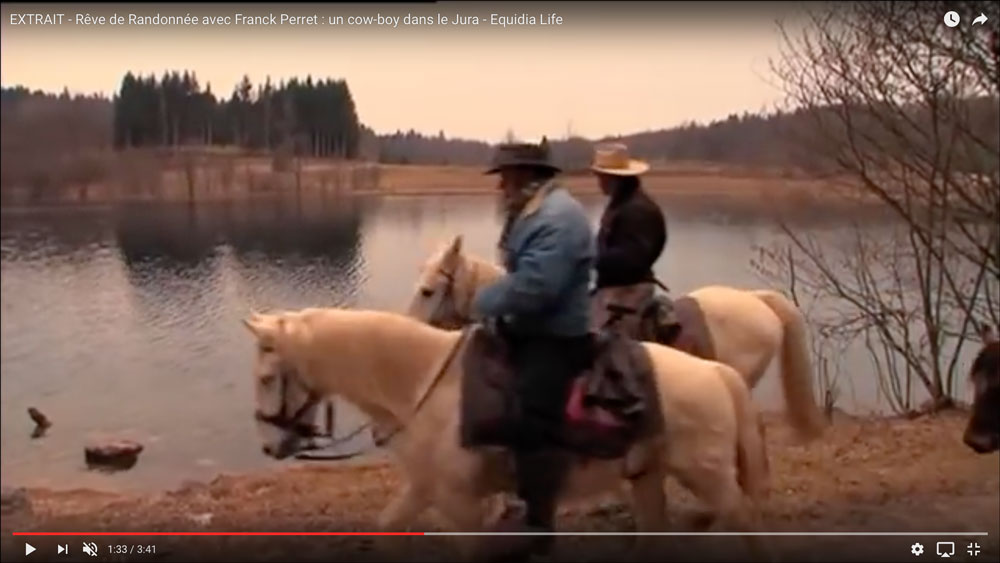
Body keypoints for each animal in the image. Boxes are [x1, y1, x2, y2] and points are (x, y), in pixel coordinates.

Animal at [244, 308, 772, 560]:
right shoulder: (425, 490)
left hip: (708, 476)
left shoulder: (460, 506)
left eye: (267, 377)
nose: (269, 445)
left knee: (746, 521)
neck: (425, 385)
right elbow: (388, 529)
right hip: (647, 476)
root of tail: (717, 373)